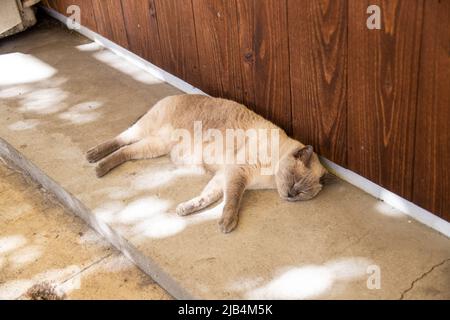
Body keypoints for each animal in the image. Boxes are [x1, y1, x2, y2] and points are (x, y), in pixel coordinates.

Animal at [86, 94, 328, 232]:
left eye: (303, 193)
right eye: (294, 181)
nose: (291, 195)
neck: (269, 179)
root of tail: (173, 94)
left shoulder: (224, 177)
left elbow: (208, 198)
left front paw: (185, 210)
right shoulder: (237, 173)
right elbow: (233, 200)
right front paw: (227, 223)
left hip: (154, 147)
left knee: (126, 152)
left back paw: (99, 167)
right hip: (145, 131)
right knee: (121, 140)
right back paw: (93, 159)